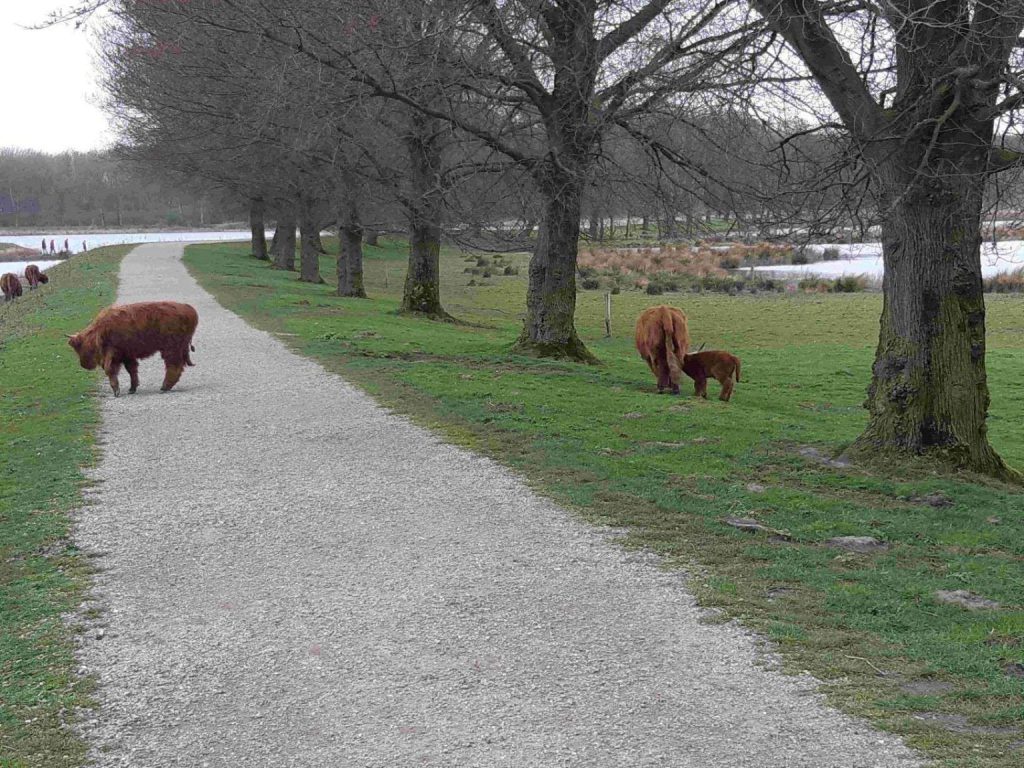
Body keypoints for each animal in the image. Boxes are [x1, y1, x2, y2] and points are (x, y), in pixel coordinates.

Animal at [68, 301, 197, 397]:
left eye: (80, 347)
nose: (83, 365)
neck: (99, 332)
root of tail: (189, 309)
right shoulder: (127, 355)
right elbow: (131, 370)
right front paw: (132, 389)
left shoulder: (113, 355)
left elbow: (110, 370)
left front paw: (116, 391)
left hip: (171, 348)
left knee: (174, 366)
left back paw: (164, 387)